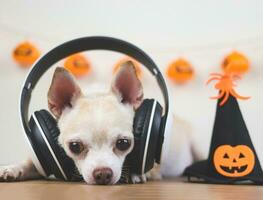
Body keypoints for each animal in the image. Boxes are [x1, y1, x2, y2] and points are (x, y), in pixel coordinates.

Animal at [0, 61, 200, 184]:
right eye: (75, 147)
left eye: (123, 143)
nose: (103, 174)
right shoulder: (42, 160)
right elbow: (30, 163)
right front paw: (12, 168)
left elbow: (149, 166)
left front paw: (136, 172)